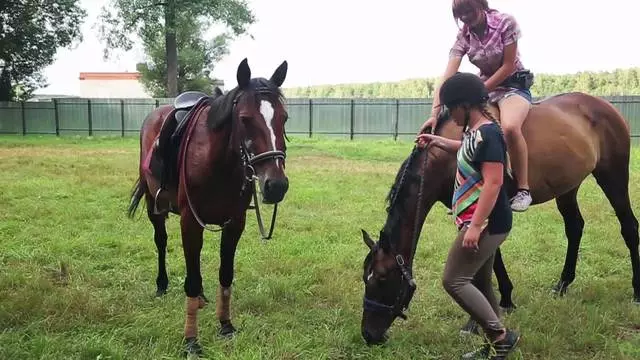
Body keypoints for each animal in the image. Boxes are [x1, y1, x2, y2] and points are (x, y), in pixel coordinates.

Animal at [125, 57, 290, 352]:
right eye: (245, 119)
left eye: (284, 118)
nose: (276, 185)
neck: (217, 162)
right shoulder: (190, 221)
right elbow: (190, 279)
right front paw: (191, 340)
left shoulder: (234, 224)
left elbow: (225, 275)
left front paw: (225, 325)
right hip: (155, 206)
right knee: (161, 241)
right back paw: (162, 284)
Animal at [360, 91, 640, 344]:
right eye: (365, 277)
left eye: (382, 278)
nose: (368, 335)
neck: (447, 156)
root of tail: (605, 106)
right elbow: (489, 259)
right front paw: (505, 299)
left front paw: (474, 322)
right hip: (568, 186)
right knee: (574, 227)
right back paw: (562, 283)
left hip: (612, 175)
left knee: (629, 226)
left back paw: (636, 291)